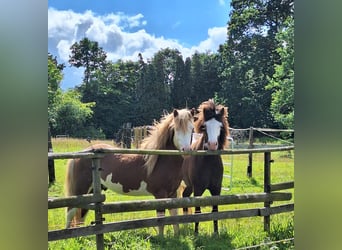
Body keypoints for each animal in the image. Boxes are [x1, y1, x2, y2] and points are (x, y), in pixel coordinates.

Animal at [65, 108, 195, 235]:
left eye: (192, 129)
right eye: (175, 129)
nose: (186, 150)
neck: (161, 160)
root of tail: (82, 153)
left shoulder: (172, 194)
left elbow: (174, 218)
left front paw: (176, 236)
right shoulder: (160, 195)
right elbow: (161, 220)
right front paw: (161, 238)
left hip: (91, 191)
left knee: (81, 214)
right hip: (79, 190)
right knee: (70, 211)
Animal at [180, 99, 228, 234]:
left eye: (220, 126)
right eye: (205, 126)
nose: (212, 145)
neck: (209, 163)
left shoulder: (216, 189)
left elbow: (215, 211)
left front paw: (216, 233)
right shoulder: (198, 189)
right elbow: (198, 212)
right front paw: (196, 234)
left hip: (189, 186)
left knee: (185, 196)